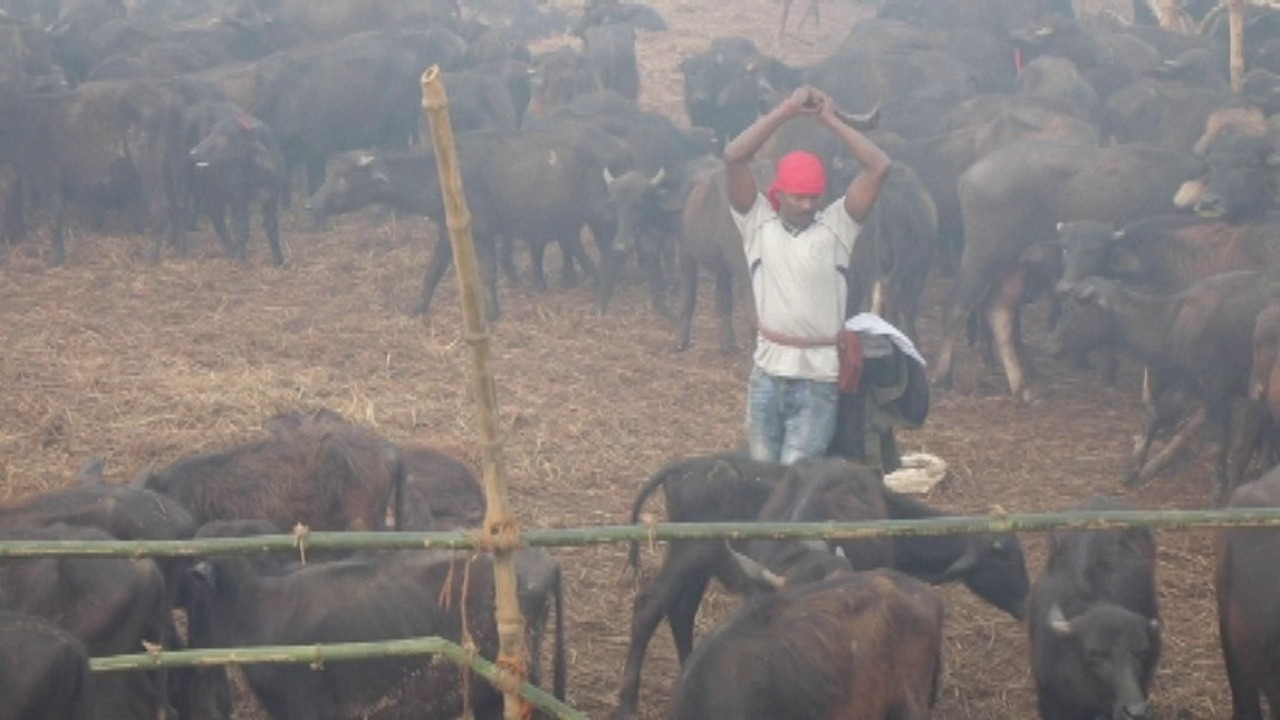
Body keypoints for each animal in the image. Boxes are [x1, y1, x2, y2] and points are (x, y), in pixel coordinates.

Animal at [183, 102, 285, 265]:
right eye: (211, 132)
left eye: (226, 134)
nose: (194, 153)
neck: (256, 170)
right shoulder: (238, 197)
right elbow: (241, 228)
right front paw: (242, 261)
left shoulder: (272, 195)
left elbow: (272, 227)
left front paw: (278, 260)